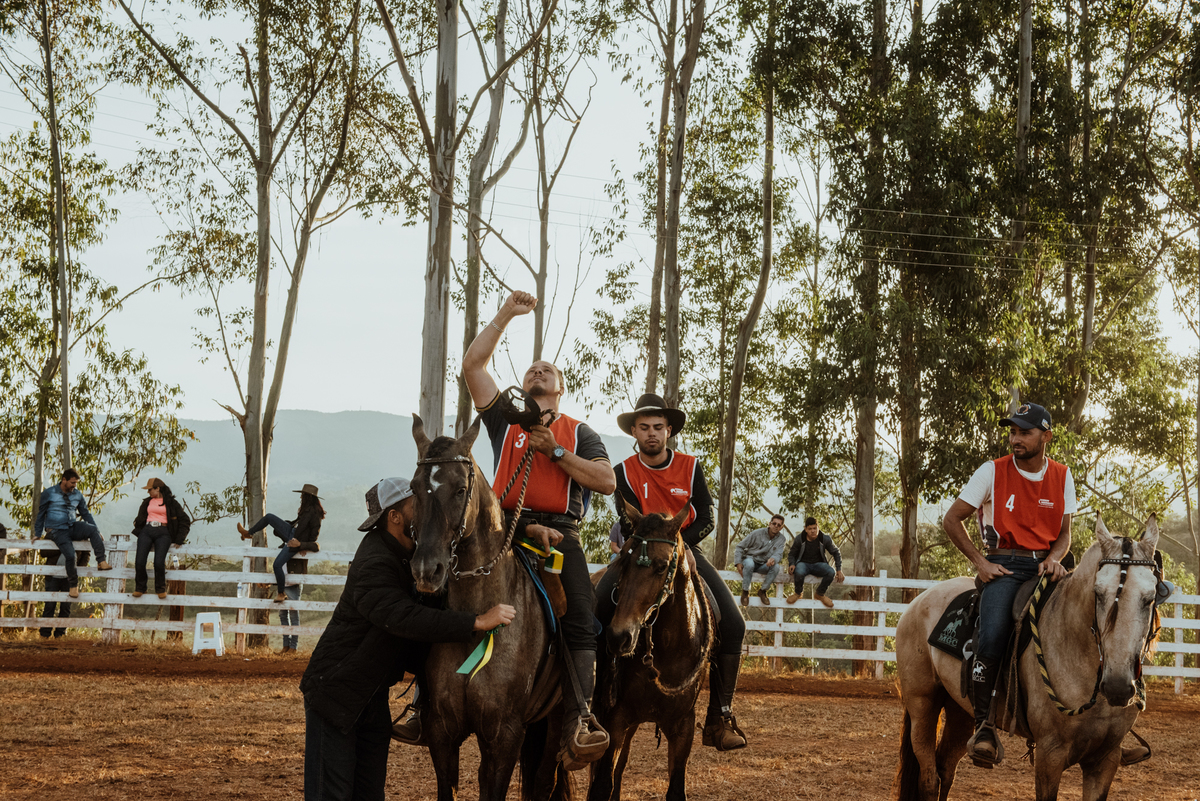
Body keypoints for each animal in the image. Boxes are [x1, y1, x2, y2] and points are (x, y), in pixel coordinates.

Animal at [410, 415, 570, 801]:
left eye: (459, 489)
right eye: (414, 488)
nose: (426, 571)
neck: (476, 622)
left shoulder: (505, 735)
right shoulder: (442, 731)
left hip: (555, 720)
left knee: (545, 782)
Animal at [588, 500, 714, 801]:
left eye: (662, 566)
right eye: (623, 561)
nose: (619, 636)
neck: (668, 651)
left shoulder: (683, 726)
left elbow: (675, 790)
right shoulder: (615, 719)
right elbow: (602, 786)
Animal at [893, 516, 1162, 801]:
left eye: (1150, 598)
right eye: (1097, 593)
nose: (1118, 687)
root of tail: (917, 601)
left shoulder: (1105, 759)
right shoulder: (1049, 754)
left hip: (959, 709)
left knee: (945, 770)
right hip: (923, 705)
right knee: (929, 779)